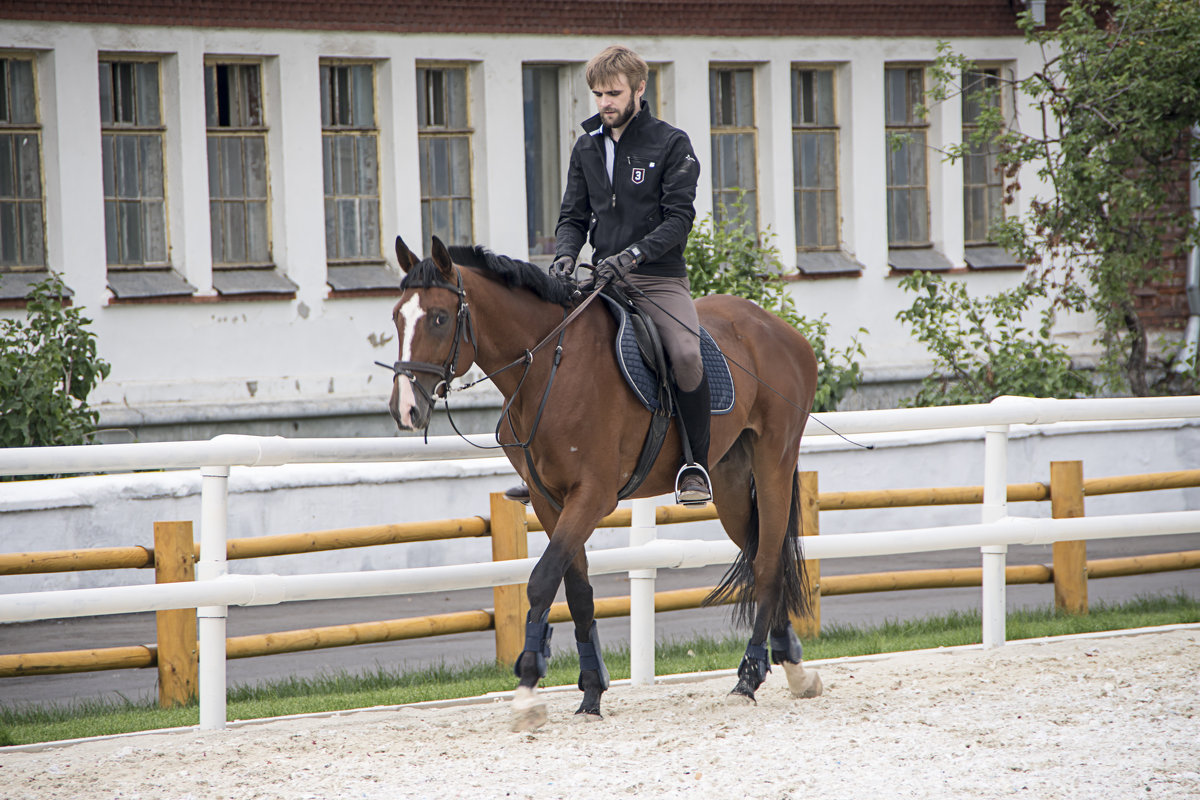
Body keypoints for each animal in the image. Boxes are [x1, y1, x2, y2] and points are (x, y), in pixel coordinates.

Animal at [388, 232, 820, 734]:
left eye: (439, 318)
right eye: (397, 316)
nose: (405, 409)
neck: (549, 368)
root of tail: (778, 329)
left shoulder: (592, 497)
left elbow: (541, 581)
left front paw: (527, 691)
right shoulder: (550, 500)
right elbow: (577, 591)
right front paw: (591, 692)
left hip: (774, 462)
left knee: (768, 561)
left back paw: (749, 679)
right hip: (730, 482)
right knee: (757, 554)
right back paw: (792, 668)